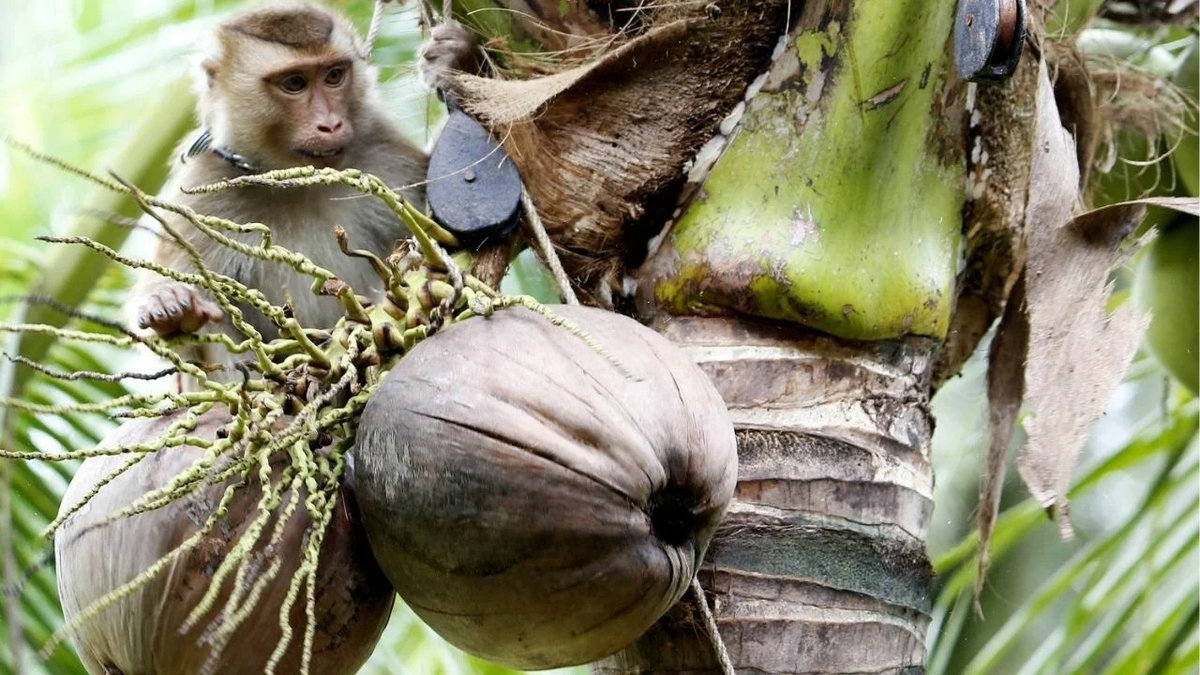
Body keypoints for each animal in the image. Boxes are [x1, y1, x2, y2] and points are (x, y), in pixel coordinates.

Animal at [131, 2, 478, 376]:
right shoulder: (202, 191)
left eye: (334, 76)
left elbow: (442, 230)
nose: (331, 124)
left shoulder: (380, 151)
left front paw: (458, 61)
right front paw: (174, 308)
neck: (293, 182)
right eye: (294, 83)